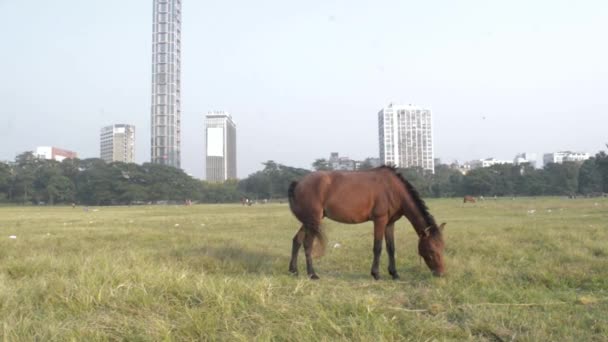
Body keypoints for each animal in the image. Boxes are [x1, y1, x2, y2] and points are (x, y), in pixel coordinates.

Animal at [284, 166, 446, 280]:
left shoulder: (389, 223)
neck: (393, 189)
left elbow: (391, 248)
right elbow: (378, 247)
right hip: (314, 220)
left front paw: (394, 274)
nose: (440, 273)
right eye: (431, 250)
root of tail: (298, 183)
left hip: (308, 221)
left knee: (297, 240)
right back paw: (312, 274)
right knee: (307, 244)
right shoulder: (380, 220)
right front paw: (376, 274)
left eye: (442, 247)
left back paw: (293, 270)